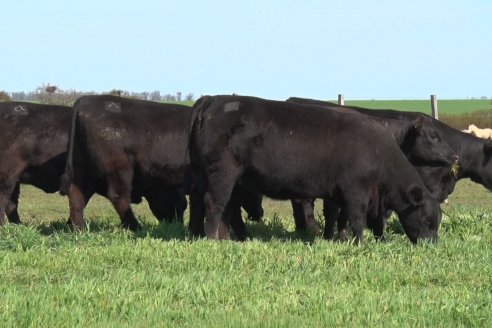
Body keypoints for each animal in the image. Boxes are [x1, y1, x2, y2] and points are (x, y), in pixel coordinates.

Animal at [189, 95, 442, 243]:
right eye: (429, 220)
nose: (431, 245)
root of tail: (212, 100)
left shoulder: (341, 193)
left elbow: (340, 218)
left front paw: (339, 239)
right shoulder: (356, 190)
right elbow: (356, 218)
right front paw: (359, 243)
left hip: (226, 177)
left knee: (224, 207)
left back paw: (227, 238)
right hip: (222, 172)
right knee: (215, 203)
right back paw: (212, 239)